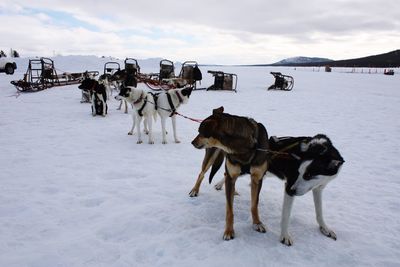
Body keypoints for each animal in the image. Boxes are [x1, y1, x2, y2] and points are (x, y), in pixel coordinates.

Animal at [191, 107, 268, 241]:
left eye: (200, 131)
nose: (192, 142)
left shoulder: (257, 178)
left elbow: (254, 204)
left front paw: (257, 223)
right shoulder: (231, 177)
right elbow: (229, 210)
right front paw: (229, 231)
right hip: (211, 157)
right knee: (202, 174)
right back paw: (195, 190)